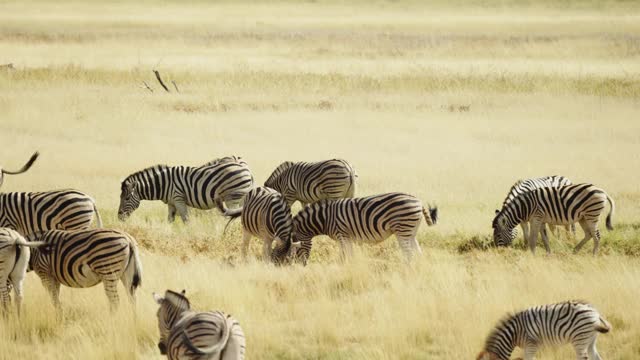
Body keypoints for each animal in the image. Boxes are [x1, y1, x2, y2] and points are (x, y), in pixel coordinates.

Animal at [119, 159, 254, 224]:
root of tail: (247, 170)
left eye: (126, 198)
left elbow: (186, 219)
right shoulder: (171, 203)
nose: (119, 217)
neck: (163, 184)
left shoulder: (179, 199)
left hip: (233, 197)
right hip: (241, 198)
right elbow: (170, 220)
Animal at [292, 191, 438, 264]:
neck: (325, 218)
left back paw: (407, 269)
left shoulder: (342, 235)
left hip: (403, 229)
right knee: (417, 252)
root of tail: (418, 202)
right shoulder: (347, 237)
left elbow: (345, 255)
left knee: (409, 253)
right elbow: (349, 255)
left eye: (294, 248)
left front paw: (346, 268)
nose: (299, 266)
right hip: (411, 232)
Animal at [478, 300, 612, 360]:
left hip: (579, 339)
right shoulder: (530, 347)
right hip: (590, 340)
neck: (514, 334)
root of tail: (595, 312)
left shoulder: (531, 344)